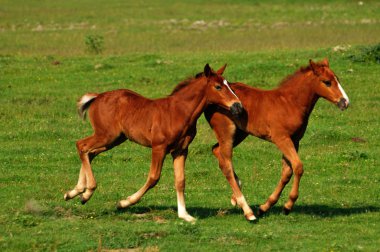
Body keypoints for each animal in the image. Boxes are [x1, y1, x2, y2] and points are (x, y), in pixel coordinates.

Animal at [63, 64, 242, 221]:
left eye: (229, 85)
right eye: (218, 87)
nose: (238, 106)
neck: (179, 112)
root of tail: (97, 97)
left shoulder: (181, 150)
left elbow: (180, 181)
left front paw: (185, 215)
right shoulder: (159, 148)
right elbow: (154, 177)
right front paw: (124, 202)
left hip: (114, 139)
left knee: (90, 152)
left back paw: (77, 192)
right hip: (106, 135)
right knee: (81, 145)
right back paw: (86, 191)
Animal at [206, 59, 348, 220]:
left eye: (337, 79)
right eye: (327, 82)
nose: (345, 102)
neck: (290, 103)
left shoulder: (295, 140)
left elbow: (287, 172)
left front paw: (265, 207)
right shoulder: (282, 139)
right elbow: (298, 167)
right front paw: (288, 205)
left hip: (240, 133)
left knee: (216, 150)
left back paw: (236, 196)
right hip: (227, 132)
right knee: (225, 161)